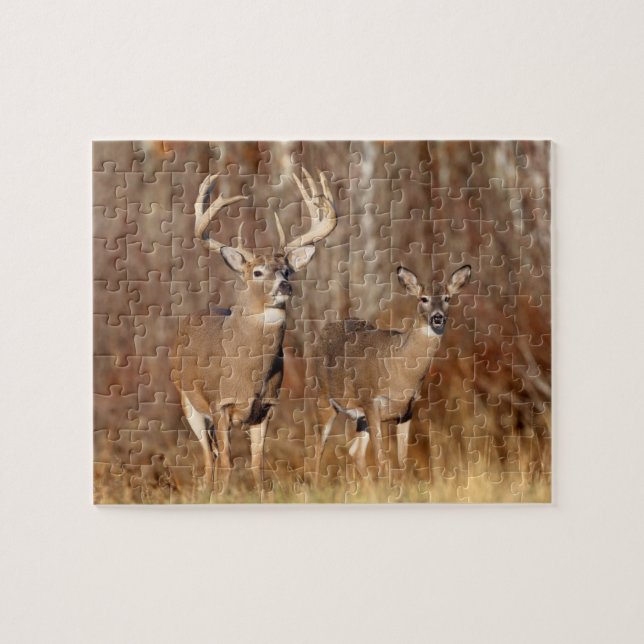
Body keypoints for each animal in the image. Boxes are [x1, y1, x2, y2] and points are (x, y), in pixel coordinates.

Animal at [172, 169, 337, 493]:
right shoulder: (220, 403)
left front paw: (260, 494)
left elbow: (257, 463)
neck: (247, 371)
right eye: (258, 272)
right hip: (187, 400)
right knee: (207, 457)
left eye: (287, 270)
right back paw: (206, 491)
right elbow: (227, 462)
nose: (284, 286)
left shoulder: (267, 407)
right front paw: (223, 495)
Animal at [313, 263, 472, 482]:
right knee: (318, 447)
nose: (438, 317)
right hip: (324, 396)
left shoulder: (407, 410)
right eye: (423, 298)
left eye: (447, 298)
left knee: (355, 451)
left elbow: (401, 459)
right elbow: (382, 459)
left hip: (360, 416)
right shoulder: (371, 401)